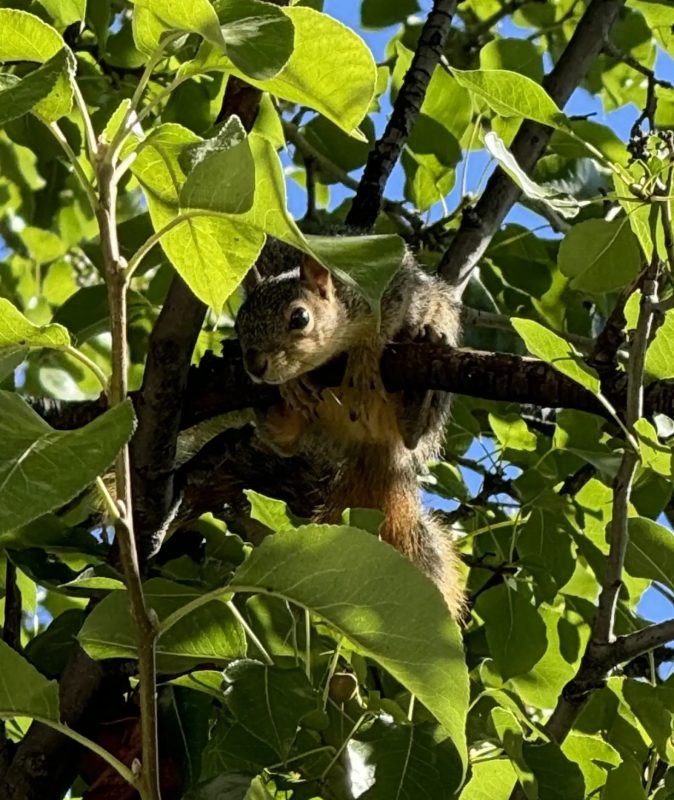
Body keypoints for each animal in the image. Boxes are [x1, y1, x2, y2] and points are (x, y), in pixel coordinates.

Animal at [234, 247, 464, 616]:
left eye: (300, 318)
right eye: (239, 324)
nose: (255, 366)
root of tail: (373, 443)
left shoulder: (389, 288)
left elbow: (386, 320)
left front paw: (365, 355)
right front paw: (291, 383)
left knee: (414, 434)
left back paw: (421, 385)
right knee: (286, 441)